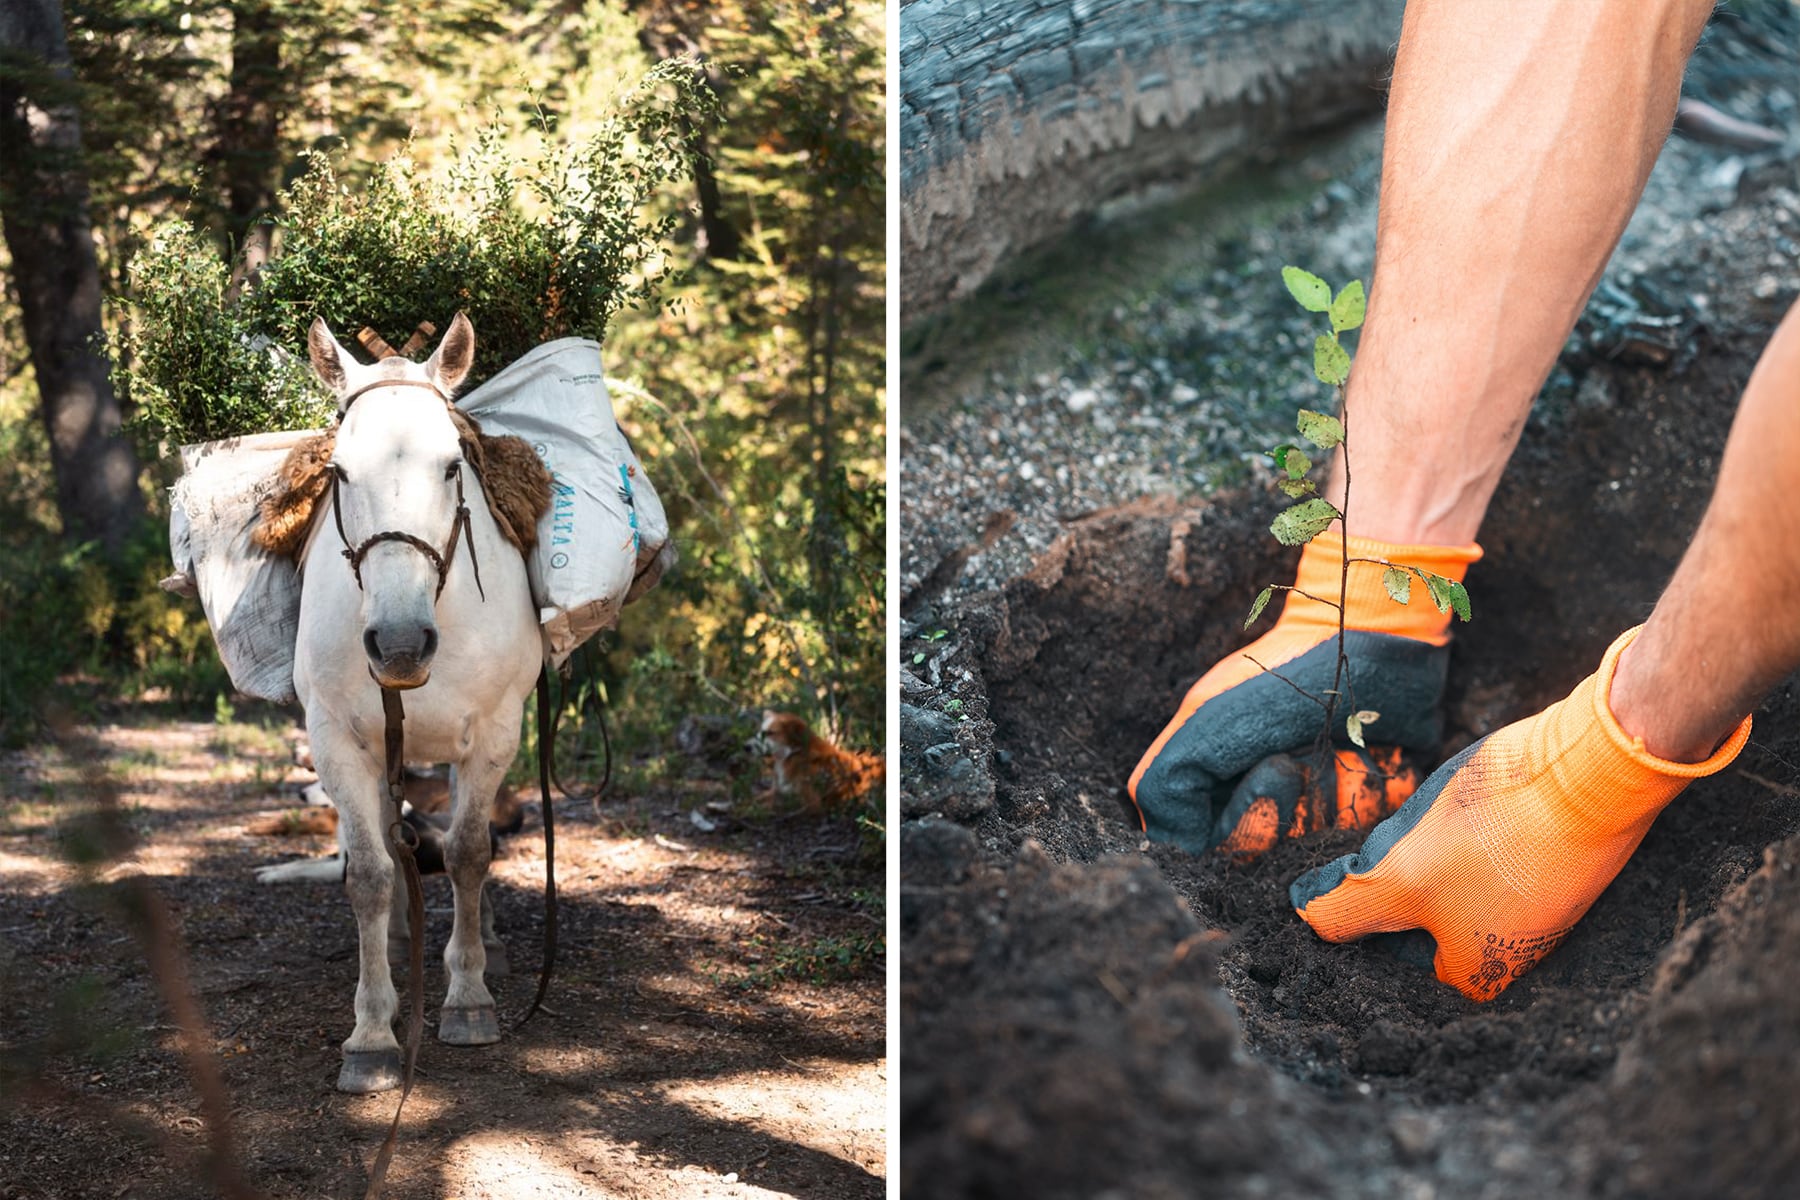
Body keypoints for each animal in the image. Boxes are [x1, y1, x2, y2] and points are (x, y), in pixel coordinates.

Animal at [295, 314, 543, 1094]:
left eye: (452, 465)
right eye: (339, 472)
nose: (400, 644)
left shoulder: (494, 732)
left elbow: (468, 851)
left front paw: (468, 997)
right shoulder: (337, 740)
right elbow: (369, 875)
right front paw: (373, 1031)